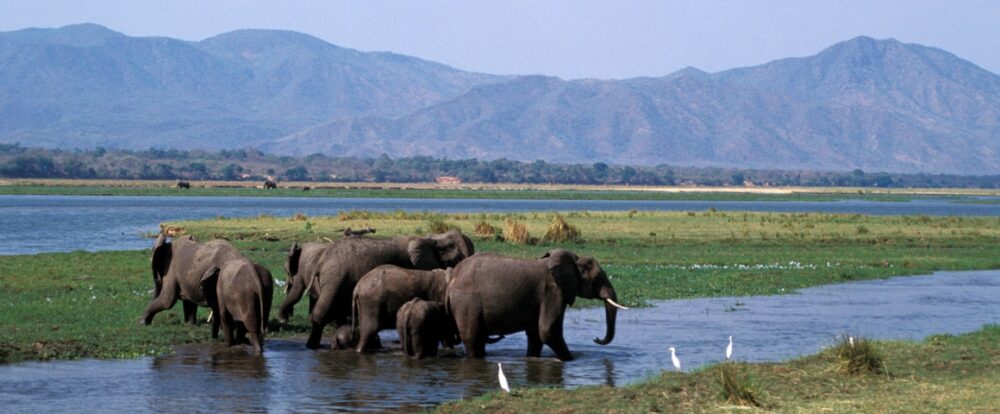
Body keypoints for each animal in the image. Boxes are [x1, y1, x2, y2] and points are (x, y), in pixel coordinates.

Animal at [304, 230, 476, 350]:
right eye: (457, 260)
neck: (434, 238)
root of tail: (322, 261)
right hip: (335, 278)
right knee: (323, 312)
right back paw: (312, 346)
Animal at [446, 247, 624, 360]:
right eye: (598, 278)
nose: (595, 338)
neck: (574, 260)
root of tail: (453, 277)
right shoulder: (552, 292)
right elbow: (548, 331)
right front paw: (571, 359)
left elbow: (535, 334)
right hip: (466, 303)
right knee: (473, 338)